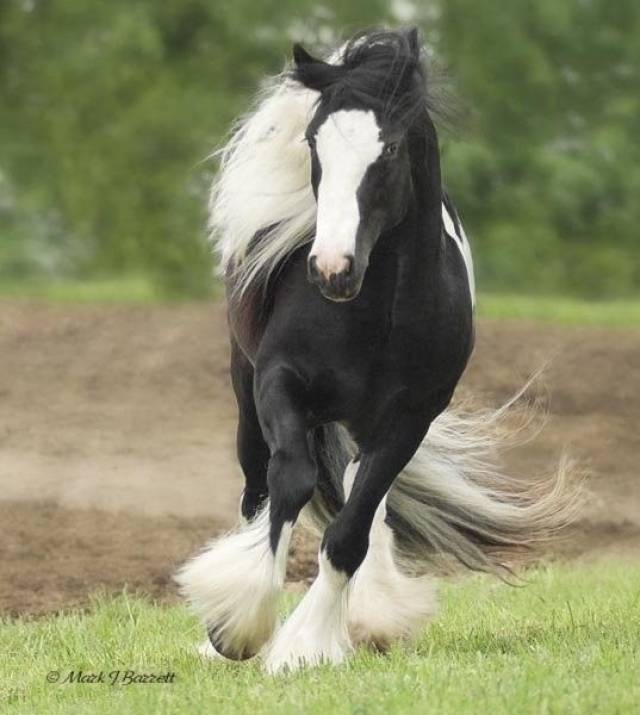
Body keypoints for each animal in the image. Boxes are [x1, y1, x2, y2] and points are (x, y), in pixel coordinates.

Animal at [178, 29, 576, 676]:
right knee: (257, 488)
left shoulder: (408, 418)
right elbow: (290, 480)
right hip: (246, 398)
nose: (331, 268)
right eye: (314, 141)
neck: (372, 315)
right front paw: (238, 629)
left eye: (388, 151)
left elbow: (353, 528)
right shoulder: (279, 382)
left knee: (364, 494)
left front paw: (308, 644)